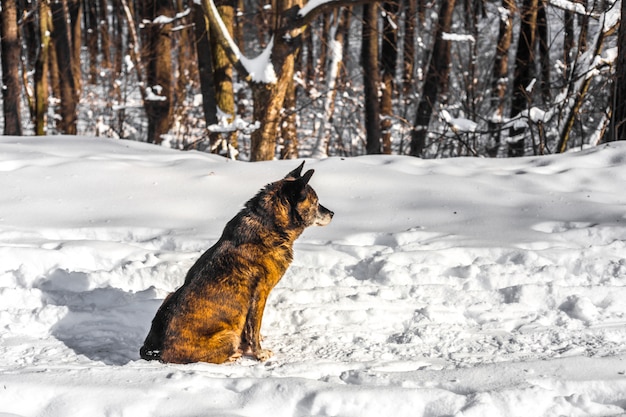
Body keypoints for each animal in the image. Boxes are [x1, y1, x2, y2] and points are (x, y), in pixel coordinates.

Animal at [138, 161, 332, 362]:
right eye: (316, 203)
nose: (332, 213)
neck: (270, 224)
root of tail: (157, 351)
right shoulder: (260, 294)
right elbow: (254, 328)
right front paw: (259, 353)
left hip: (169, 296)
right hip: (229, 336)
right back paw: (235, 353)